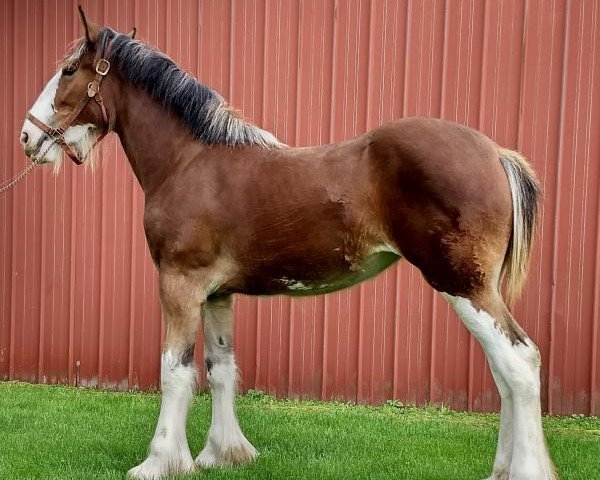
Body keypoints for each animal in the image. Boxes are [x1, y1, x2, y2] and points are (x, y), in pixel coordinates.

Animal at [18, 7, 556, 480]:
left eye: (68, 70)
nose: (26, 136)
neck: (190, 161)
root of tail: (496, 152)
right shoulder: (217, 294)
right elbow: (220, 367)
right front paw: (223, 454)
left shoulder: (179, 284)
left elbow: (175, 370)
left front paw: (159, 462)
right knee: (504, 371)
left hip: (462, 283)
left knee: (518, 362)